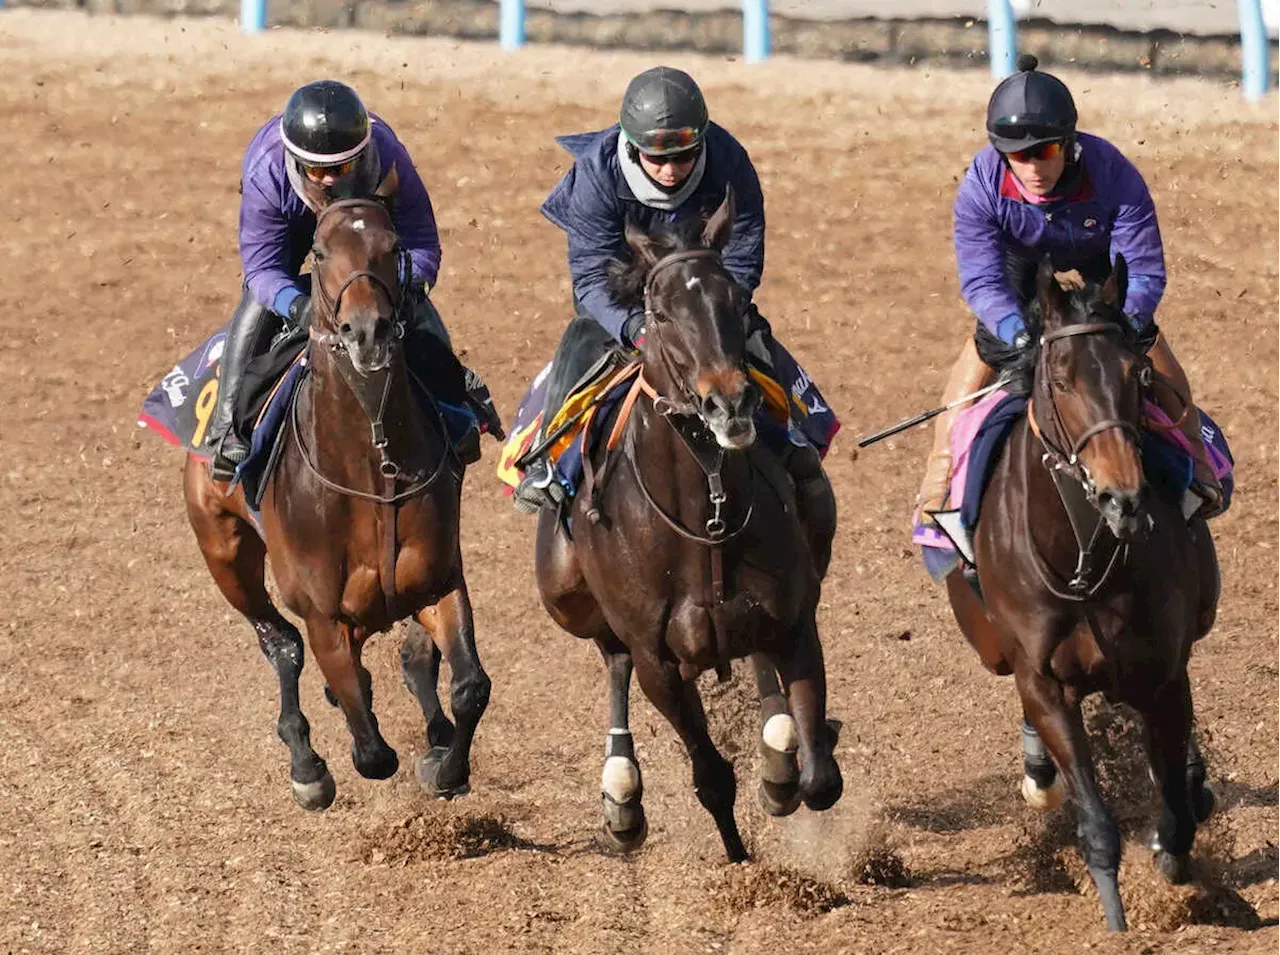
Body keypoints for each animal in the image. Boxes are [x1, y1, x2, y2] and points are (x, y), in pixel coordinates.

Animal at [185, 181, 488, 809]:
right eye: (321, 253)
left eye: (392, 245)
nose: (367, 331)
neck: (372, 469)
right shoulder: (323, 615)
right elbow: (370, 747)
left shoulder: (440, 580)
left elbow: (470, 686)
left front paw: (444, 766)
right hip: (225, 553)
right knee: (281, 644)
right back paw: (306, 763)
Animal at [529, 189, 839, 860]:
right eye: (663, 314)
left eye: (737, 300)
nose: (730, 403)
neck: (705, 514)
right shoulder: (659, 663)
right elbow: (712, 776)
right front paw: (738, 857)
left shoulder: (795, 621)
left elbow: (819, 779)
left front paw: (784, 772)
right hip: (566, 595)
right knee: (612, 658)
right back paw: (621, 794)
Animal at [952, 257, 1218, 926]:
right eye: (1062, 380)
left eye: (1137, 373)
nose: (1124, 498)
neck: (1087, 565)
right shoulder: (1044, 682)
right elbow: (1096, 822)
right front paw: (1118, 923)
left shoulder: (1163, 672)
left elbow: (1175, 804)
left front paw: (1172, 859)